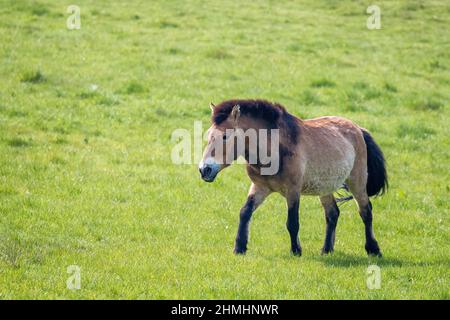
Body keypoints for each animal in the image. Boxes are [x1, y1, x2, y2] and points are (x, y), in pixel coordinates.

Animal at [200, 100, 386, 258]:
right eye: (209, 135)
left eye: (225, 136)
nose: (204, 170)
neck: (274, 149)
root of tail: (358, 129)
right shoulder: (260, 187)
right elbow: (245, 212)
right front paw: (239, 247)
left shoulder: (293, 190)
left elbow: (292, 222)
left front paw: (296, 250)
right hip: (325, 188)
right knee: (332, 213)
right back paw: (326, 250)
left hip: (357, 181)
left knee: (366, 211)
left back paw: (373, 249)